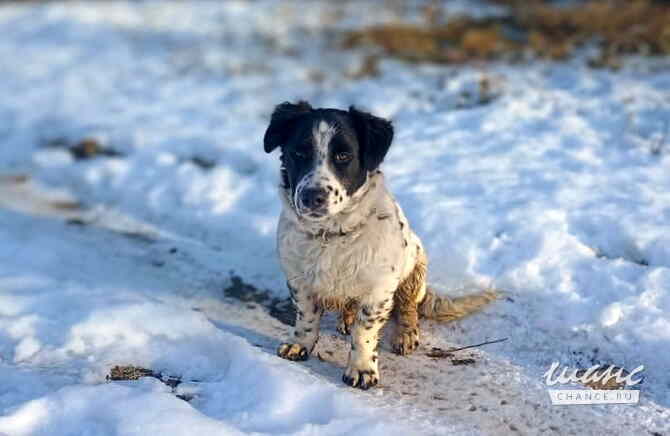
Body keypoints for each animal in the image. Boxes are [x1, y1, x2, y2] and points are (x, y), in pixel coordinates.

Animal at [266, 101, 496, 388]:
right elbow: (306, 316)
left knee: (408, 308)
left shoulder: (379, 289)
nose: (312, 196)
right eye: (298, 152)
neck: (331, 234)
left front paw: (362, 368)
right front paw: (300, 345)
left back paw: (405, 334)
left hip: (415, 269)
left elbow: (364, 332)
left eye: (343, 156)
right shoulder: (299, 280)